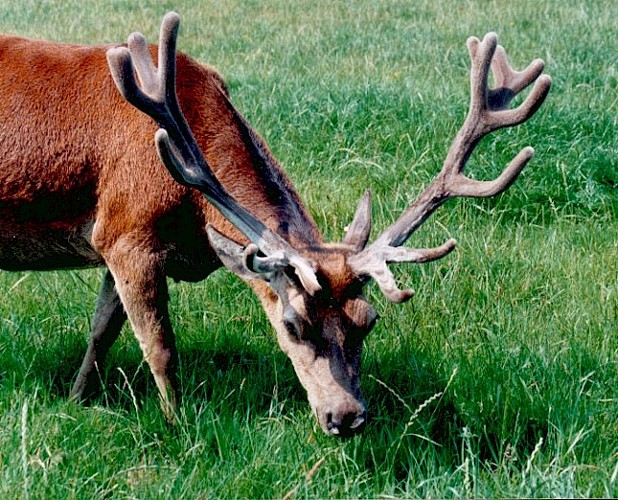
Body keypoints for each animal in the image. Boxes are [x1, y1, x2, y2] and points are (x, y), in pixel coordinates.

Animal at [0, 12, 548, 438]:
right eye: (291, 323)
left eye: (369, 320)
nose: (347, 417)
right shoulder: (125, 231)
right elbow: (159, 348)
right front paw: (178, 425)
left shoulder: (121, 242)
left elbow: (101, 331)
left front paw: (77, 399)